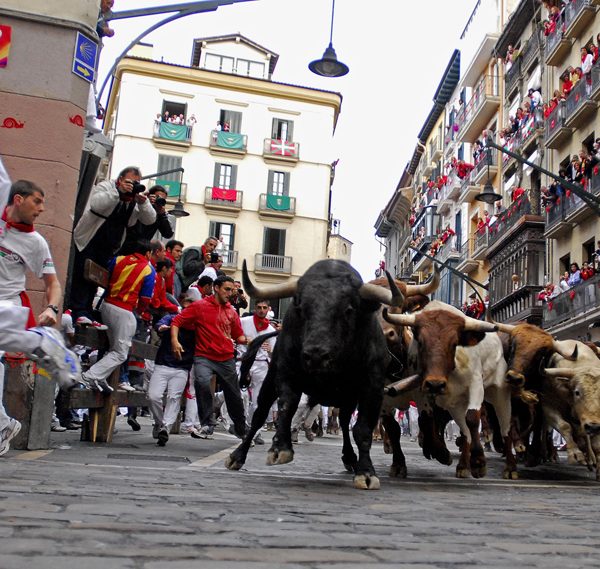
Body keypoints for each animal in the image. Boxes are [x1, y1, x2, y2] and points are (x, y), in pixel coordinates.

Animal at [223, 260, 396, 490]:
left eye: (349, 309)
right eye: (301, 308)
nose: (315, 355)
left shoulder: (373, 387)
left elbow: (363, 429)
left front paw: (366, 472)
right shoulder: (286, 374)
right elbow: (286, 408)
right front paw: (280, 448)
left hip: (347, 398)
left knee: (343, 422)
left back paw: (350, 458)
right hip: (269, 381)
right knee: (259, 415)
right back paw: (237, 456)